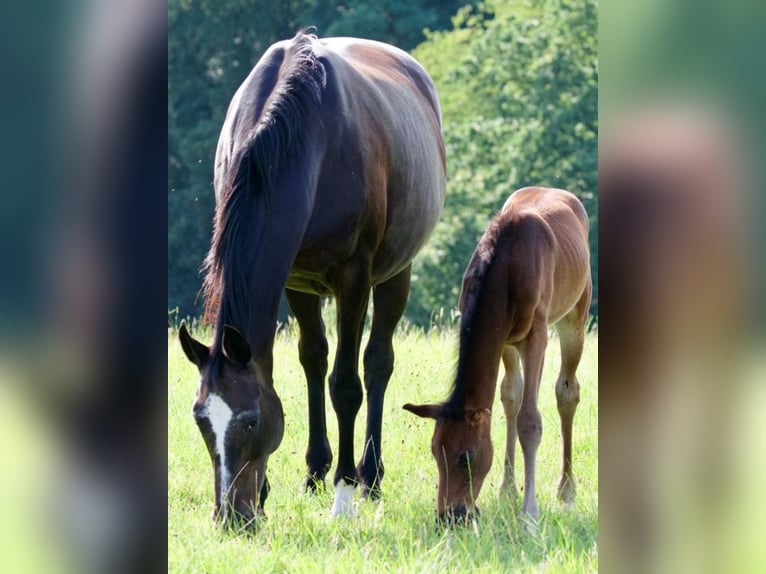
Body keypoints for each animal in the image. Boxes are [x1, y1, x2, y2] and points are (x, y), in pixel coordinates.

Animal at [178, 32, 448, 528]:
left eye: (250, 420)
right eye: (200, 419)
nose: (231, 517)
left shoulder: (354, 277)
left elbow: (345, 385)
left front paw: (344, 494)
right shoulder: (293, 279)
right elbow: (303, 363)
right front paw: (277, 487)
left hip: (396, 273)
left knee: (376, 363)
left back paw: (369, 476)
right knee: (316, 360)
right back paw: (316, 472)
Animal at [404, 189, 592, 528]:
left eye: (466, 457)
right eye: (435, 452)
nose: (450, 516)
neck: (506, 266)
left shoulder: (536, 334)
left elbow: (530, 420)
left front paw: (529, 513)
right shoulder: (502, 337)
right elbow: (510, 400)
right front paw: (509, 492)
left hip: (575, 315)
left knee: (567, 391)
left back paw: (566, 491)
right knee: (513, 395)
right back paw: (509, 489)